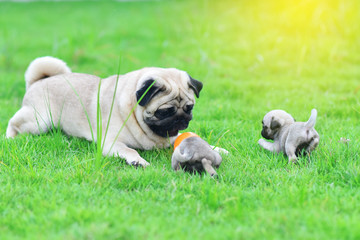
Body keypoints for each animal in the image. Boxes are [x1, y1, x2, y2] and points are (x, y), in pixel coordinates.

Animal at [7, 57, 202, 168]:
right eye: (164, 112)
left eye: (189, 108)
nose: (181, 119)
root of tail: (37, 81)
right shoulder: (113, 143)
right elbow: (130, 150)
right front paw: (137, 161)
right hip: (39, 121)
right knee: (13, 122)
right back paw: (9, 138)